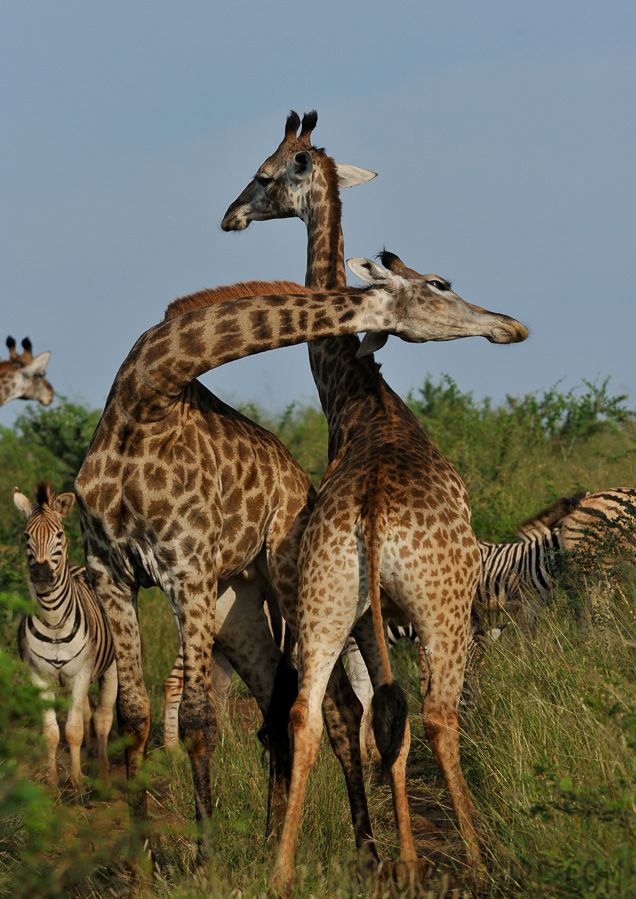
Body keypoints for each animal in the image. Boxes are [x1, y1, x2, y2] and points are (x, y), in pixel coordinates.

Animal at [13, 486, 117, 788]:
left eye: (58, 535)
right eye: (27, 536)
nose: (41, 574)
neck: (54, 621)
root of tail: (80, 568)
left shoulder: (81, 673)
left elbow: (73, 730)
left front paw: (78, 782)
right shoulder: (38, 677)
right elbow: (52, 733)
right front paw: (52, 783)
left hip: (112, 668)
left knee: (103, 718)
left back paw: (104, 772)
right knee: (89, 714)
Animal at [73, 268, 528, 880]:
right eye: (439, 284)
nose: (510, 325)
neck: (145, 399)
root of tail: (302, 483)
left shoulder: (185, 567)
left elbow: (196, 720)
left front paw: (207, 863)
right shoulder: (111, 572)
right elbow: (134, 717)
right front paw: (141, 865)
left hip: (285, 588)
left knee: (333, 707)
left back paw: (358, 852)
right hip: (238, 606)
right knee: (280, 704)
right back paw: (276, 843)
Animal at [221, 112, 528, 892]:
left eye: (263, 175)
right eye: (441, 281)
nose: (231, 215)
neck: (364, 403)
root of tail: (373, 513)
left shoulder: (362, 617)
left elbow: (371, 718)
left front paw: (394, 854)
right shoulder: (402, 617)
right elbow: (398, 719)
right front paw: (414, 857)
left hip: (327, 601)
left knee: (308, 716)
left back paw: (283, 869)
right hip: (443, 608)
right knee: (440, 716)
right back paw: (477, 860)